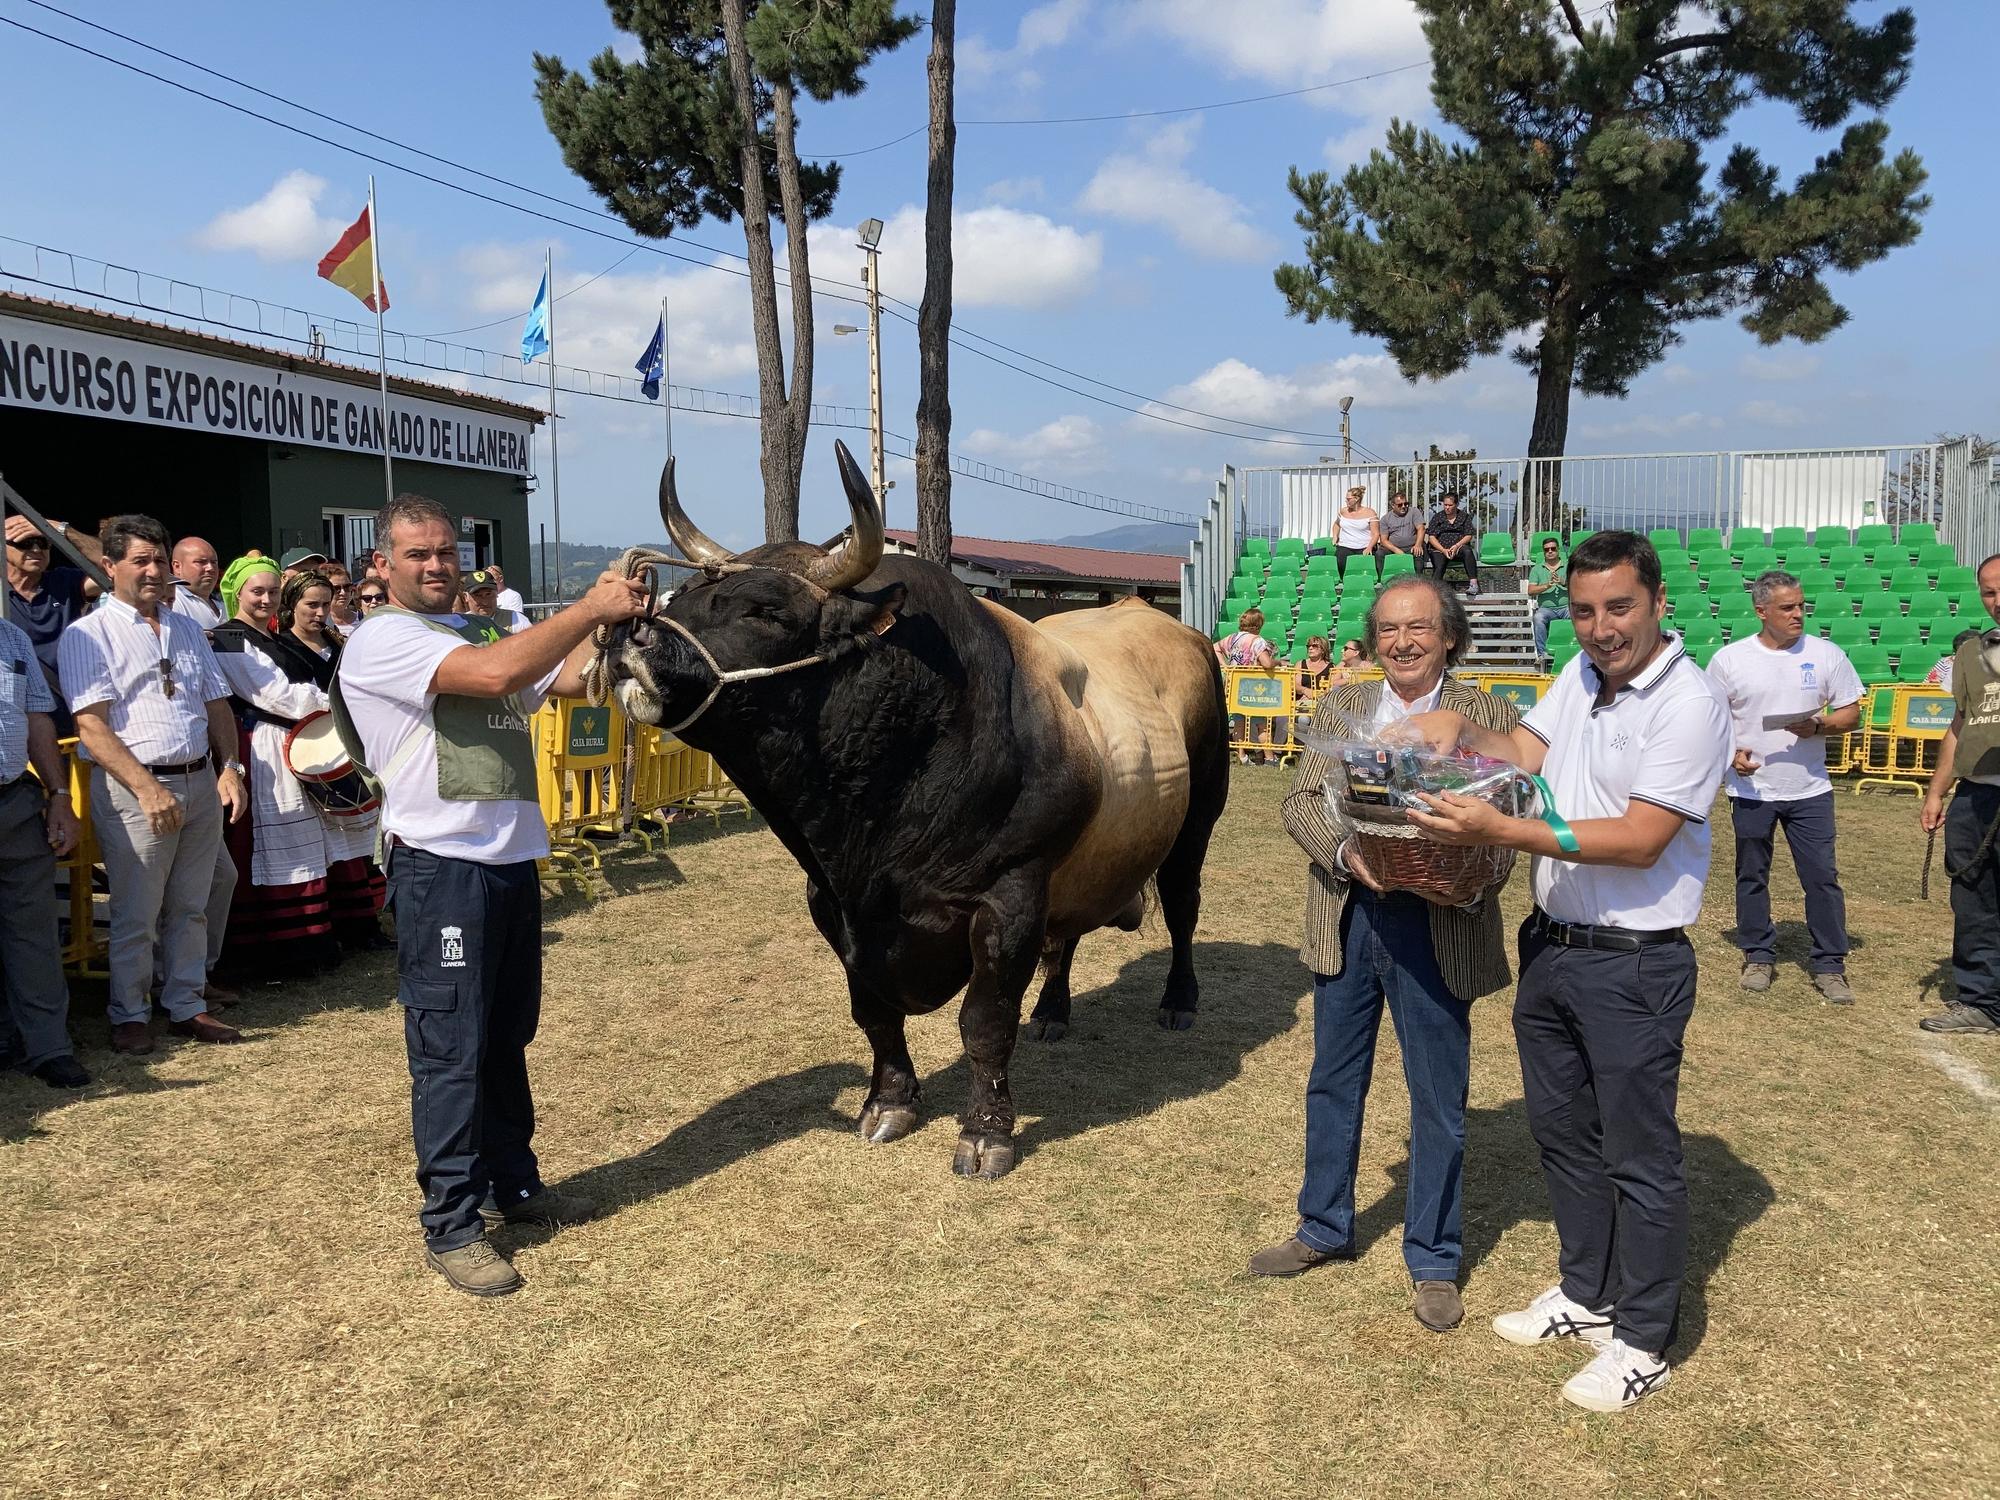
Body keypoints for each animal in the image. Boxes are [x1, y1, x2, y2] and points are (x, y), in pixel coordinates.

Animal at [608, 440, 1224, 1184]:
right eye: (684, 595)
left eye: (768, 612)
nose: (632, 640)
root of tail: (1180, 632)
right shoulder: (832, 902)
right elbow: (872, 1012)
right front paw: (889, 1102)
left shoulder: (1010, 894)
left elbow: (984, 1022)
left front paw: (986, 1134)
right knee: (1069, 935)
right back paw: (1052, 1012)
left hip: (1196, 822)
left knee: (1183, 909)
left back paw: (1180, 1002)